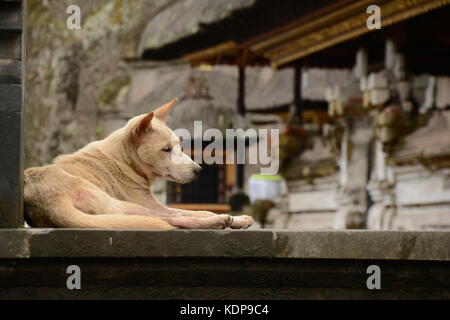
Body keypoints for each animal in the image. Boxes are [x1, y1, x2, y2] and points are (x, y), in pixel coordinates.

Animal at [24, 99, 253, 229]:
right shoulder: (150, 204)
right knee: (173, 219)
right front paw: (231, 218)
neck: (123, 160)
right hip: (124, 205)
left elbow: (197, 210)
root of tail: (47, 203)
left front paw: (237, 219)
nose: (199, 171)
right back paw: (215, 222)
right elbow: (192, 211)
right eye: (166, 149)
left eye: (179, 147)